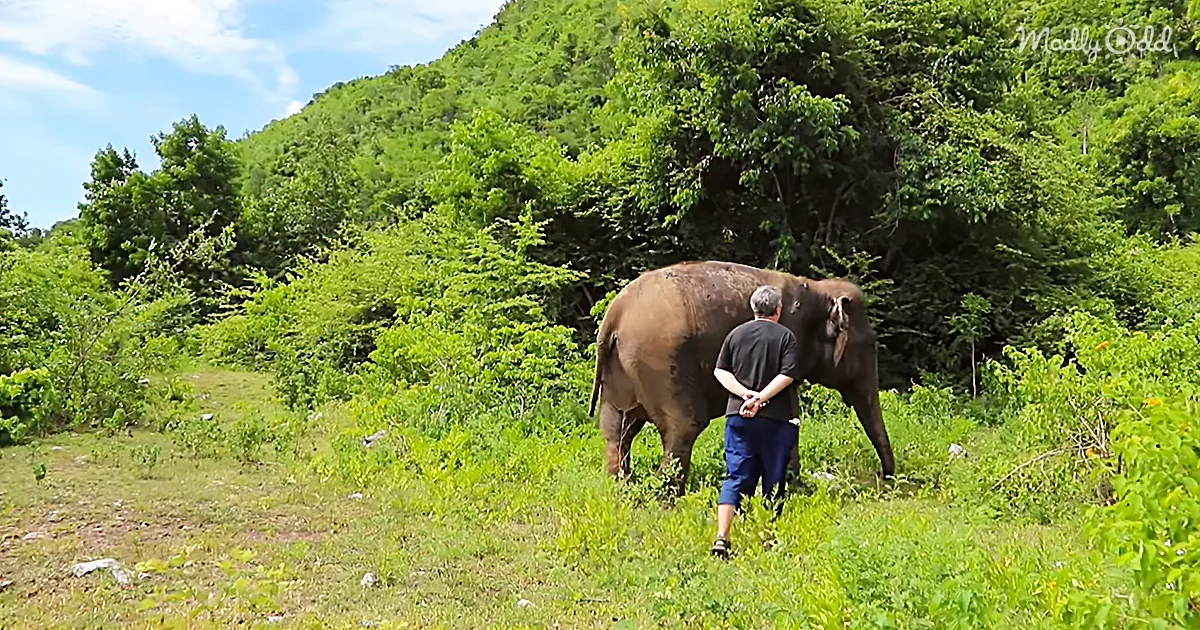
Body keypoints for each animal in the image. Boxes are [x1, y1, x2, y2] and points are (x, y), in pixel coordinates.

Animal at [588, 261, 894, 491]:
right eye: (868, 344)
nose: (887, 479)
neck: (816, 288)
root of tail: (614, 315)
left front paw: (795, 487)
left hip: (623, 369)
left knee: (618, 428)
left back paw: (622, 486)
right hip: (661, 361)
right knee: (684, 425)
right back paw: (667, 496)